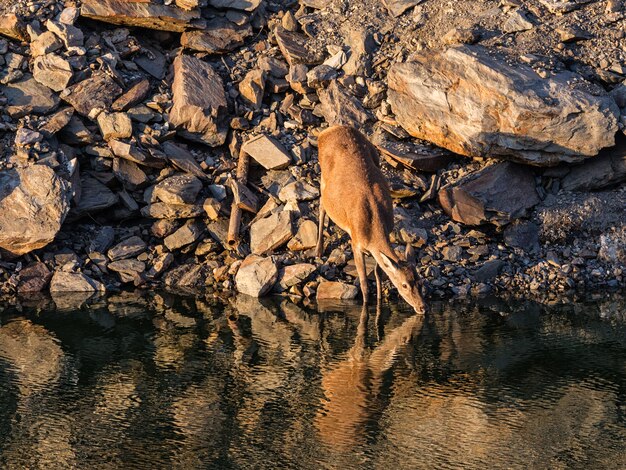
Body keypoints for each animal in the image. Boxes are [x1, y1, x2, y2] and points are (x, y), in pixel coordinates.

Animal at [314, 126, 426, 314]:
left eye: (420, 282)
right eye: (404, 285)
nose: (422, 307)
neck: (373, 228)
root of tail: (327, 131)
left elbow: (378, 272)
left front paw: (380, 300)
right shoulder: (355, 242)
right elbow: (364, 283)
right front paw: (366, 304)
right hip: (323, 174)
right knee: (322, 205)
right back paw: (318, 249)